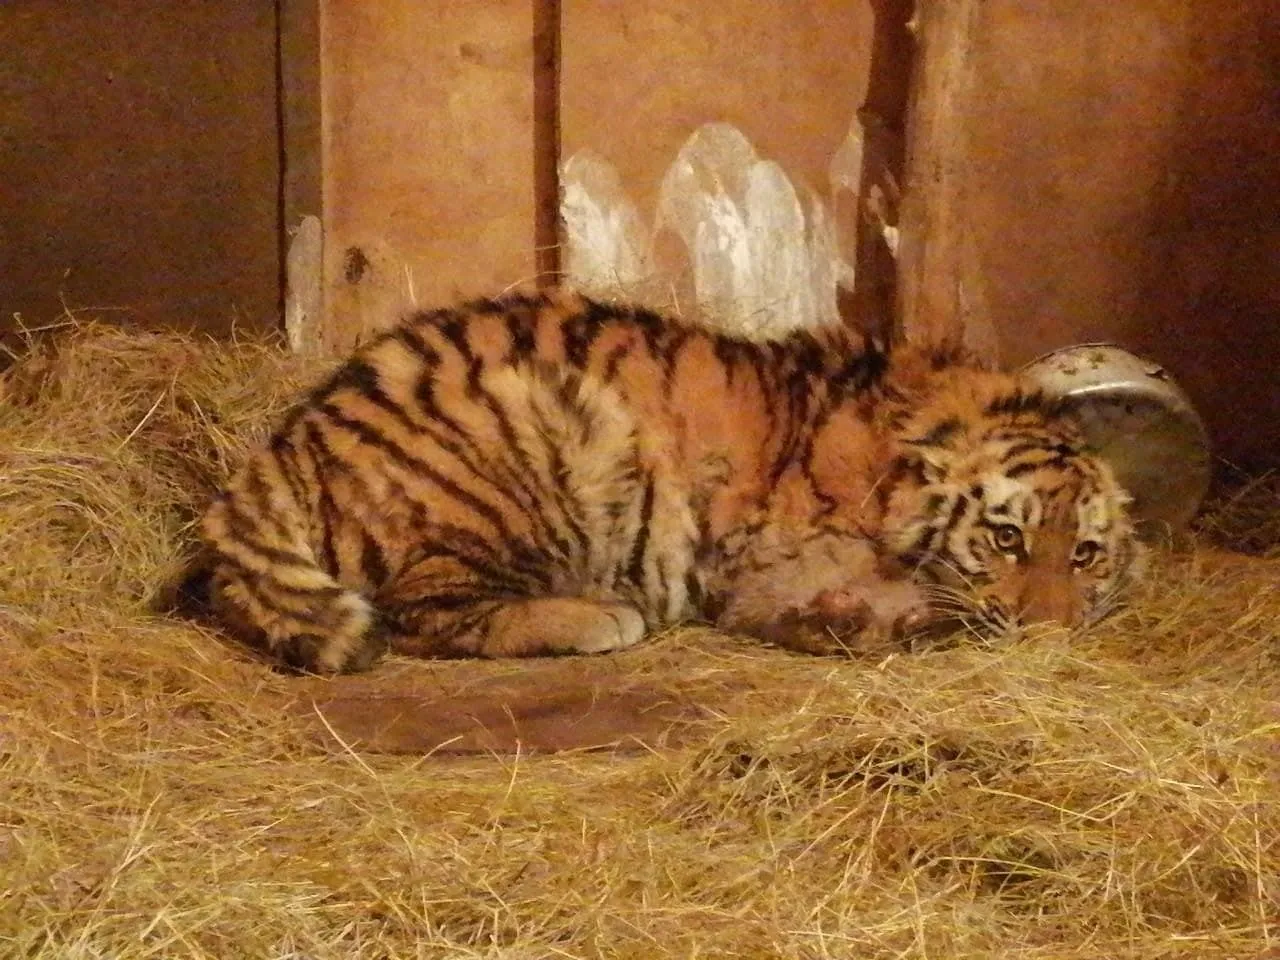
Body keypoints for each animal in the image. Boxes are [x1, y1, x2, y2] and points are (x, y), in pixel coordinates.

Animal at [177, 289, 1141, 670]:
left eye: (1086, 554)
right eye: (1006, 538)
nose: (1051, 636)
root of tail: (291, 438)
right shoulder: (771, 566)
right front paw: (867, 619)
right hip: (542, 438)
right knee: (427, 615)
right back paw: (599, 617)